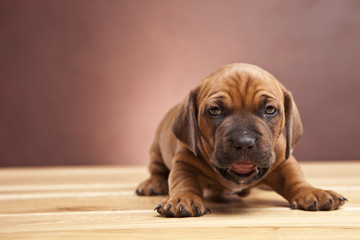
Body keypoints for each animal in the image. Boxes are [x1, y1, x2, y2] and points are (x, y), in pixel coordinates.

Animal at [135, 62, 346, 217]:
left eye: (270, 109)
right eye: (214, 111)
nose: (244, 142)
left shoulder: (283, 161)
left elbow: (295, 178)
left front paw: (310, 191)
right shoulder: (185, 162)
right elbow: (182, 181)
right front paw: (182, 198)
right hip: (156, 149)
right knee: (157, 169)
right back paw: (153, 183)